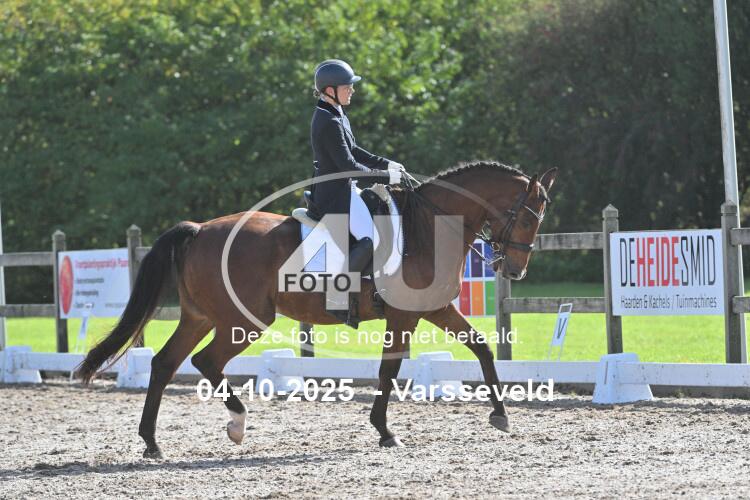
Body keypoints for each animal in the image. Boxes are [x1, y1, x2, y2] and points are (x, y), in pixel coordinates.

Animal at [76, 160, 556, 458]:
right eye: (526, 216)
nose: (516, 268)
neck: (428, 227)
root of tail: (199, 229)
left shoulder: (436, 307)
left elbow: (482, 349)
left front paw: (500, 415)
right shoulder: (404, 315)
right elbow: (389, 369)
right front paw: (385, 432)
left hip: (200, 317)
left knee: (164, 363)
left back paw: (152, 443)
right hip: (243, 321)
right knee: (204, 361)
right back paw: (237, 424)